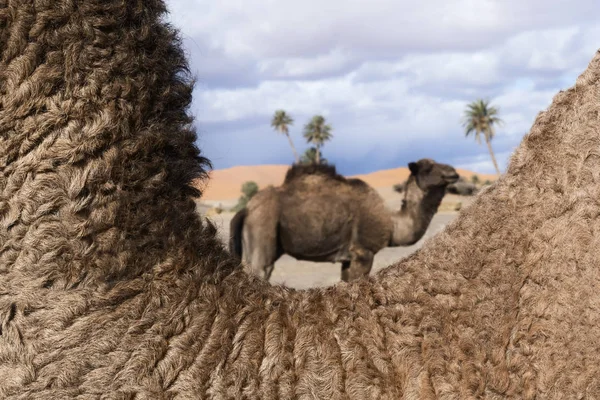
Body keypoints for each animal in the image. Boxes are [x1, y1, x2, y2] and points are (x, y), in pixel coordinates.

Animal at [231, 159, 460, 282]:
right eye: (428, 168)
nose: (453, 172)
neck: (392, 224)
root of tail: (247, 209)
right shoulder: (363, 252)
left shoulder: (348, 259)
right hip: (263, 229)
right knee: (261, 270)